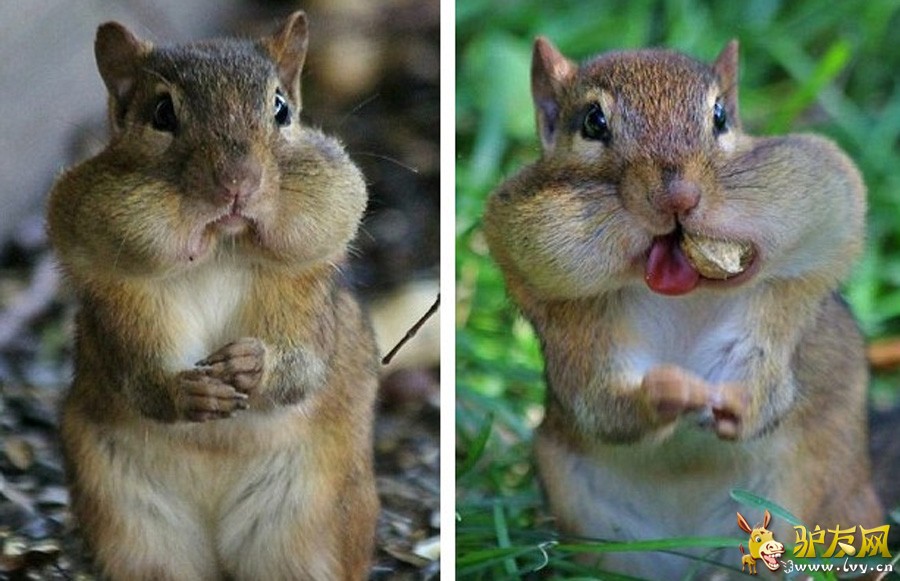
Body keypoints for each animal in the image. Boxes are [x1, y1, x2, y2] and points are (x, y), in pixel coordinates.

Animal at [47, 11, 379, 581]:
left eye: (280, 108)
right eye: (161, 113)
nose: (237, 183)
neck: (220, 252)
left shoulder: (306, 293)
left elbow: (307, 365)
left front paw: (251, 365)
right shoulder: (118, 301)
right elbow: (135, 376)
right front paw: (188, 391)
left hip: (315, 526)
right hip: (131, 527)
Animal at [484, 38, 884, 577]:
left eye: (720, 116)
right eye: (593, 122)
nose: (679, 197)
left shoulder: (777, 313)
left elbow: (768, 386)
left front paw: (739, 404)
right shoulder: (577, 333)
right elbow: (600, 403)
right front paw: (667, 391)